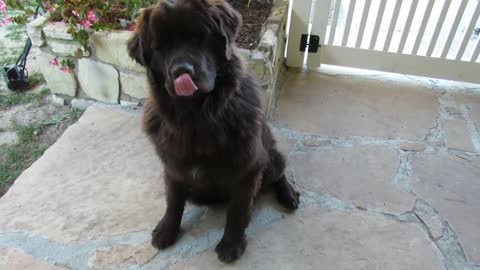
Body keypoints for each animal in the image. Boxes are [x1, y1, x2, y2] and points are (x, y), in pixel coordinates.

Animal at [127, 0, 300, 262]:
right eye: (160, 47)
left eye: (199, 38)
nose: (181, 71)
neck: (196, 116)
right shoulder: (173, 166)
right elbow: (173, 201)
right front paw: (167, 230)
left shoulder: (248, 168)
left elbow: (237, 211)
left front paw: (231, 244)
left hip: (270, 156)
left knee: (279, 174)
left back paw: (289, 196)